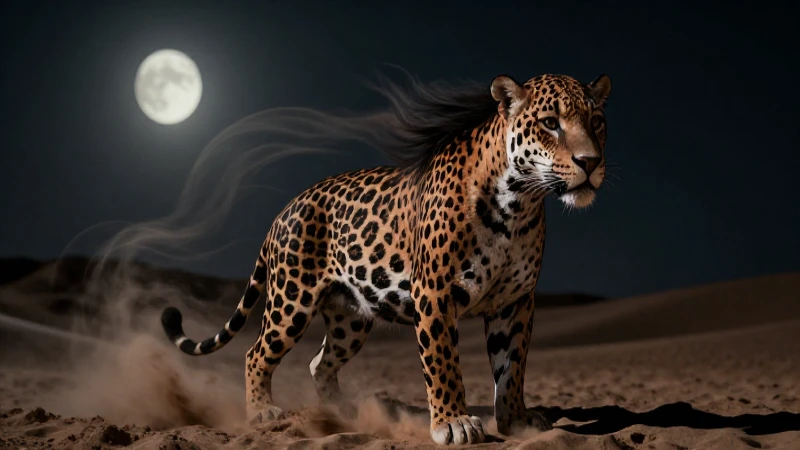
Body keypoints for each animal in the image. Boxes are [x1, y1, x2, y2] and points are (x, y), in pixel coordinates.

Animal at [161, 71, 612, 445]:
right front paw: (453, 423)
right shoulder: (434, 292)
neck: (517, 204)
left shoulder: (514, 301)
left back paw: (341, 415)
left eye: (596, 121)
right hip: (291, 299)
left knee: (320, 363)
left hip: (351, 319)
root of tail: (284, 210)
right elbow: (442, 361)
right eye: (550, 122)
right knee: (257, 353)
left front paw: (516, 418)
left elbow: (512, 365)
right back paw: (261, 412)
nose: (590, 163)